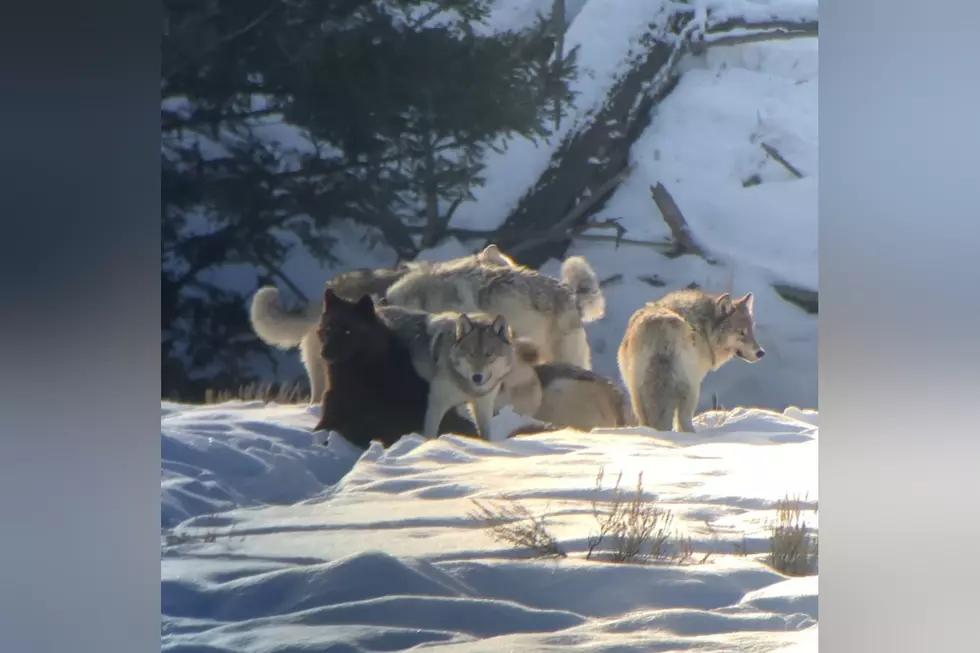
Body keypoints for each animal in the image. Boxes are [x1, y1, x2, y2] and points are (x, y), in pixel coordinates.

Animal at [378, 306, 517, 440]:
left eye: (489, 354)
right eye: (470, 355)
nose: (476, 377)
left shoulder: (483, 405)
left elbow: (487, 437)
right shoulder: (435, 405)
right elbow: (430, 435)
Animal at [617, 289, 765, 433]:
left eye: (751, 331)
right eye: (741, 333)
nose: (761, 353)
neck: (705, 329)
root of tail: (662, 329)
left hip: (636, 393)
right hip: (692, 389)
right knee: (683, 420)